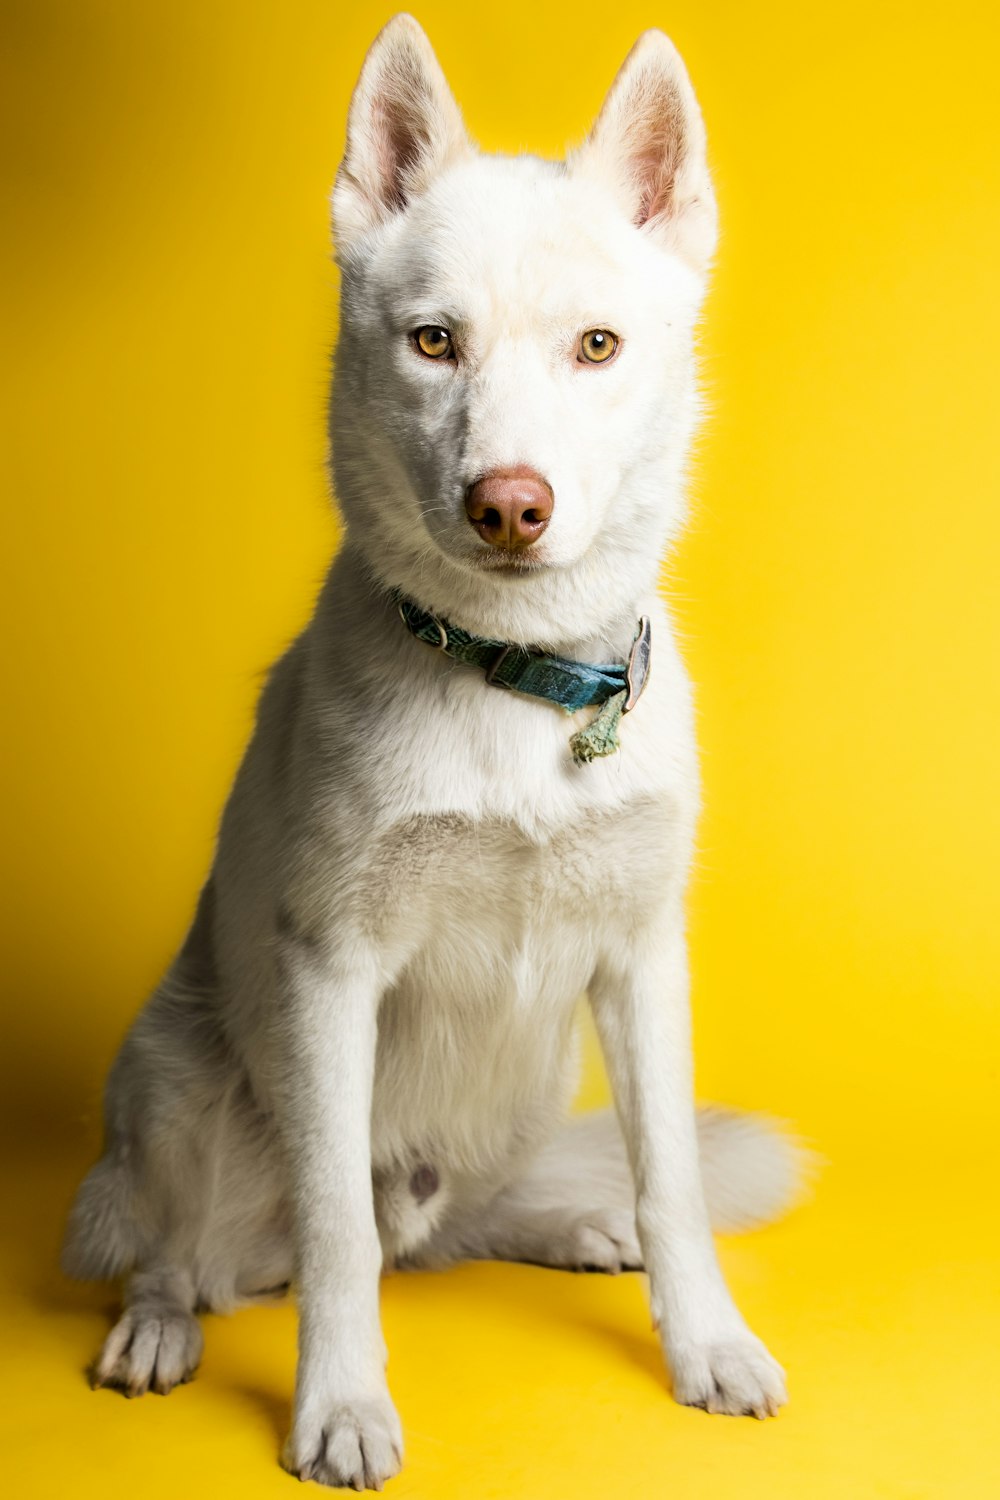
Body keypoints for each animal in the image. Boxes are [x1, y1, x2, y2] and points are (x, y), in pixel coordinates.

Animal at [64, 17, 803, 1494]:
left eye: (595, 346)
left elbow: (673, 1182)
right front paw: (341, 1406)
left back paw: (573, 1229)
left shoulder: (643, 962)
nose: (508, 504)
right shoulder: (330, 971)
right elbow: (339, 1240)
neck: (517, 684)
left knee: (470, 1222)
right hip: (167, 1077)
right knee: (200, 1249)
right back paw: (161, 1328)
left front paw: (704, 1343)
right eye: (433, 342)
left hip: (536, 1082)